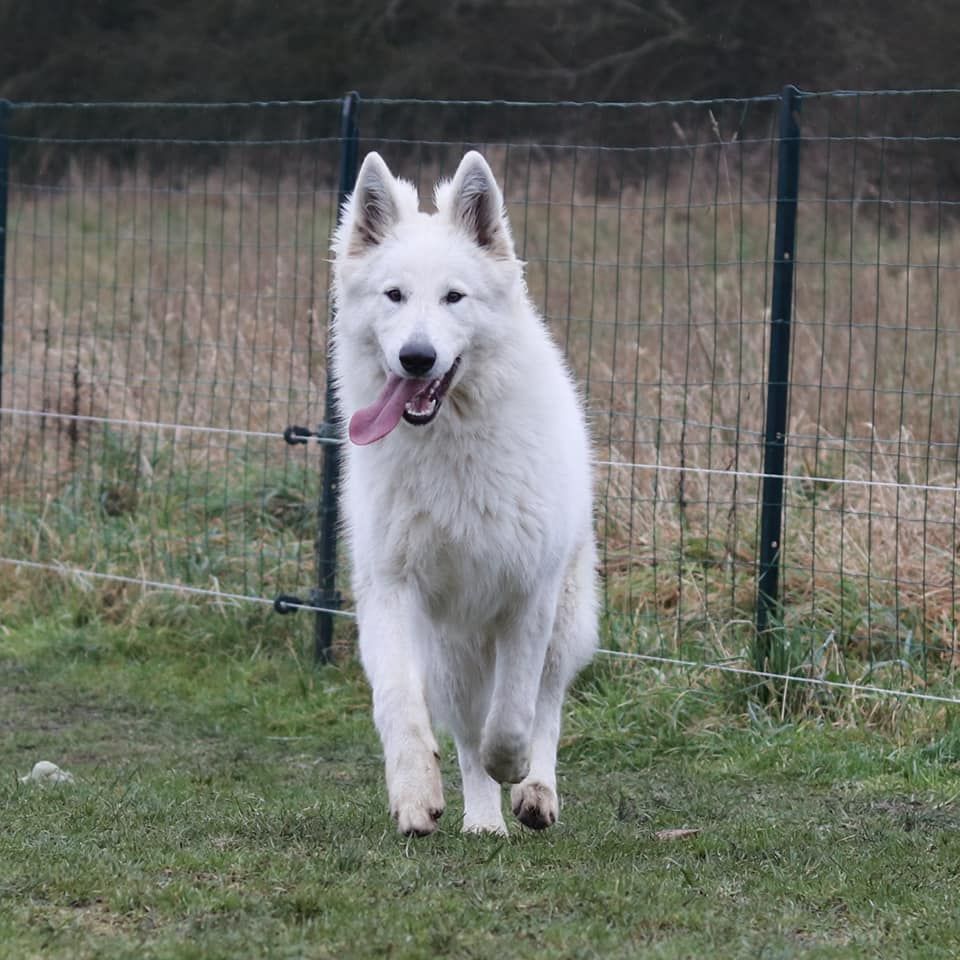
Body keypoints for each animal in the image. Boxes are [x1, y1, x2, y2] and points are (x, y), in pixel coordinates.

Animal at [334, 148, 596, 832]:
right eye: (394, 295)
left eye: (454, 297)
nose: (416, 358)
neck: (447, 444)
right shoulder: (390, 587)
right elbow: (401, 704)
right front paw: (414, 791)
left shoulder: (528, 594)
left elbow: (513, 715)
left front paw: (515, 767)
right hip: (448, 651)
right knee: (463, 728)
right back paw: (483, 821)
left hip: (565, 619)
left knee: (545, 705)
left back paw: (534, 791)